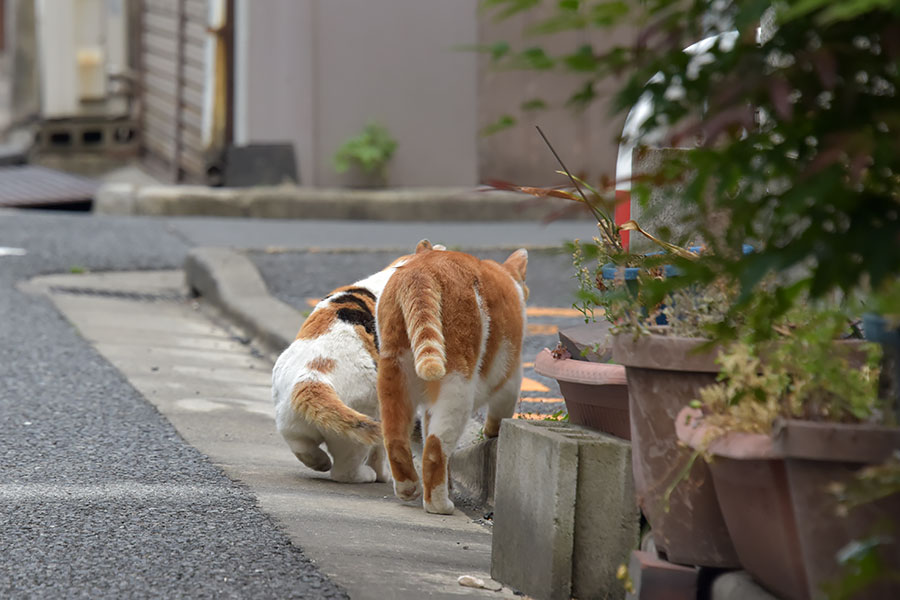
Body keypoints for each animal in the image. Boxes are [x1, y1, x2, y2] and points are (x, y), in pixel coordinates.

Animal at [272, 239, 444, 482]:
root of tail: (313, 378)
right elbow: (380, 451)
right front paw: (384, 475)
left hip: (289, 422)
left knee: (302, 447)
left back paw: (319, 462)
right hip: (363, 420)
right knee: (345, 469)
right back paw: (367, 475)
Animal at [378, 246, 532, 512]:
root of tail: (422, 270)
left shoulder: (428, 408)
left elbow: (427, 428)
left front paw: (450, 483)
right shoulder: (512, 376)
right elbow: (501, 411)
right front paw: (493, 434)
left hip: (394, 373)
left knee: (396, 438)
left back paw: (409, 488)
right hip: (457, 382)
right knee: (434, 449)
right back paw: (440, 505)